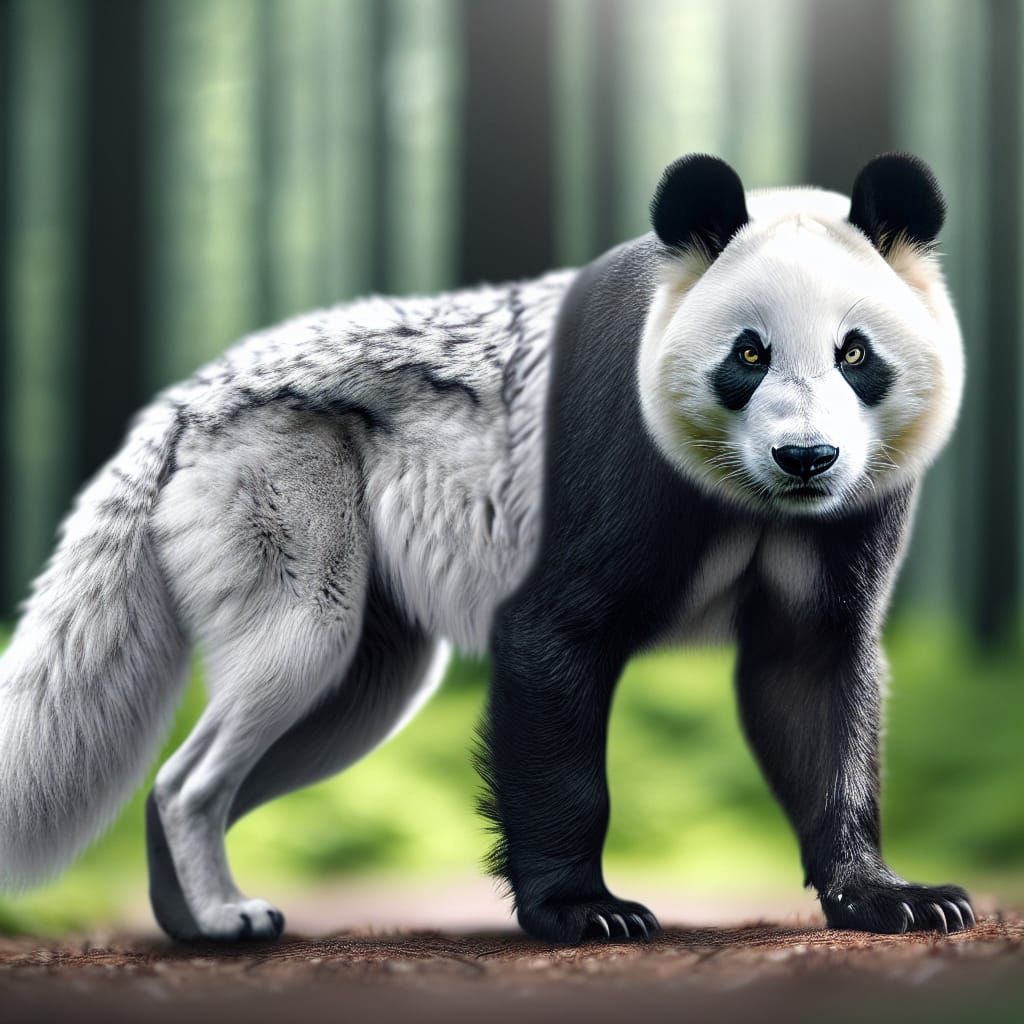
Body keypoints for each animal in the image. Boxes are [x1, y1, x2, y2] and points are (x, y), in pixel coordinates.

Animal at [0, 152, 972, 945]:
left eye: (856, 354)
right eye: (749, 355)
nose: (806, 457)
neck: (750, 496)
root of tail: (183, 405)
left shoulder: (850, 511)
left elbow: (813, 680)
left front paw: (894, 899)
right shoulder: (609, 455)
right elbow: (552, 643)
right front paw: (587, 914)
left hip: (363, 639)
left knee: (312, 720)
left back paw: (190, 914)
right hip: (287, 483)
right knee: (255, 695)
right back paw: (220, 915)